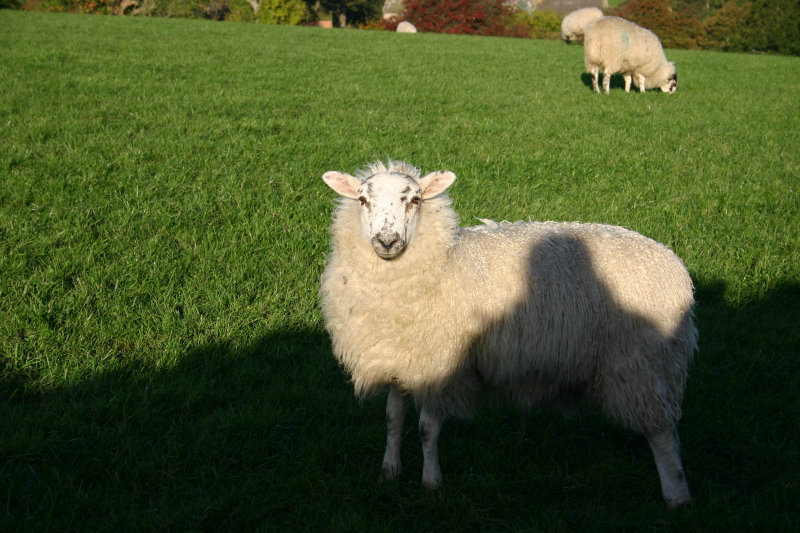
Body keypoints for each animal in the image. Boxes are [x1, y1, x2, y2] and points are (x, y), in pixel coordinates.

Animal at [318, 160, 692, 504]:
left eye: (414, 199)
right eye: (362, 199)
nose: (387, 241)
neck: (442, 263)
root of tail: (675, 267)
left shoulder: (443, 366)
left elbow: (426, 430)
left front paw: (431, 482)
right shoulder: (401, 359)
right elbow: (393, 419)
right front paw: (389, 472)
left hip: (640, 363)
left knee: (662, 432)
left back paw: (676, 495)